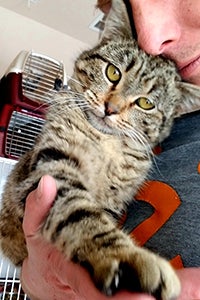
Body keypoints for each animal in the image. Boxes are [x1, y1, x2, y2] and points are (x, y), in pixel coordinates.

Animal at [0, 0, 200, 300]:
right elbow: (81, 214)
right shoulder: (52, 165)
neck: (106, 144)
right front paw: (127, 258)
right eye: (113, 72)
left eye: (145, 103)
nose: (111, 108)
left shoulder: (113, 201)